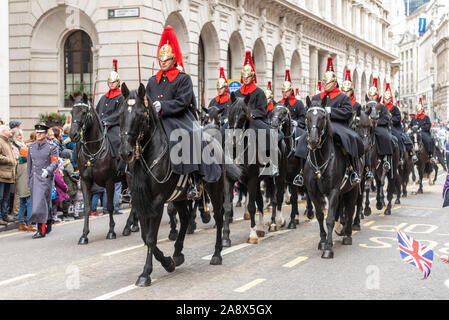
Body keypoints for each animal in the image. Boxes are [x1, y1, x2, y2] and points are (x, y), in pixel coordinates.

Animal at [68, 94, 137, 244]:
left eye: (84, 112)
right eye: (71, 112)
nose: (73, 134)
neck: (94, 150)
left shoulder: (109, 181)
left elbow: (110, 206)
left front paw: (111, 231)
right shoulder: (85, 181)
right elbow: (87, 207)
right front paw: (84, 235)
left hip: (131, 178)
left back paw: (129, 226)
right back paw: (134, 225)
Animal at [117, 84, 240, 286]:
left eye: (141, 115)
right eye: (120, 113)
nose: (125, 152)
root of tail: (214, 139)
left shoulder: (157, 202)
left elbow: (150, 238)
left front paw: (145, 274)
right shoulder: (140, 201)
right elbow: (145, 237)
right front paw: (167, 262)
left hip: (214, 189)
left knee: (219, 216)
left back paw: (217, 253)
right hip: (180, 196)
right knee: (185, 219)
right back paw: (177, 253)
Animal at [302, 96, 358, 258]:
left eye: (322, 117)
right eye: (307, 117)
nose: (313, 141)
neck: (320, 160)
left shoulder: (333, 190)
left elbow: (330, 219)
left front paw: (328, 248)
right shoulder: (313, 192)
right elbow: (321, 216)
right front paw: (323, 241)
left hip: (353, 189)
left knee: (350, 209)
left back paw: (347, 235)